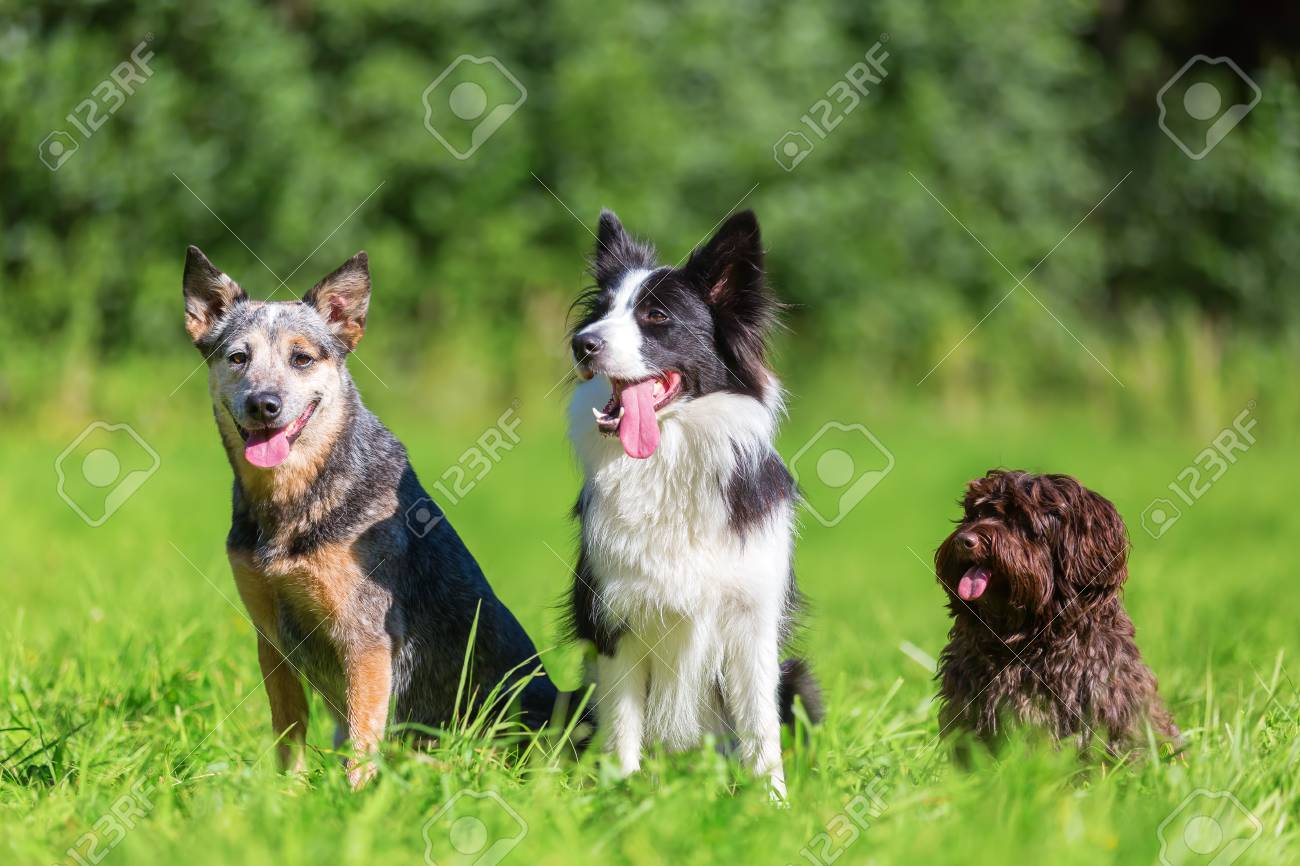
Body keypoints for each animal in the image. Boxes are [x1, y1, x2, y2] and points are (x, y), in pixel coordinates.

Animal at [564, 205, 816, 790]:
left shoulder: (752, 623)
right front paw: (623, 795)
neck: (669, 461)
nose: (582, 343)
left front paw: (773, 801)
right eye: (600, 312)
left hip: (796, 678)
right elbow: (623, 726)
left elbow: (760, 730)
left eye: (656, 316)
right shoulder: (614, 621)